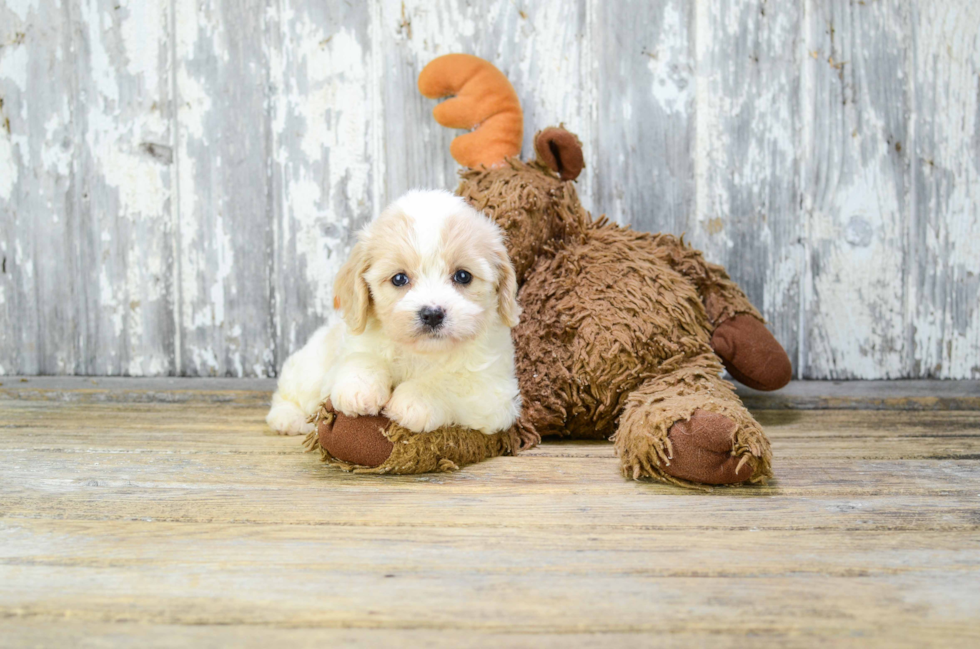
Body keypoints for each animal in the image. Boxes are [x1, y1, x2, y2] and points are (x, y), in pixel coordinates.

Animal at [264, 190, 524, 438]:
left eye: (463, 276)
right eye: (399, 279)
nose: (432, 314)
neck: (421, 354)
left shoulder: (493, 392)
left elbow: (451, 382)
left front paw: (414, 400)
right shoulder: (351, 349)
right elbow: (361, 358)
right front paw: (358, 388)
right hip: (311, 366)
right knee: (289, 390)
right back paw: (289, 418)